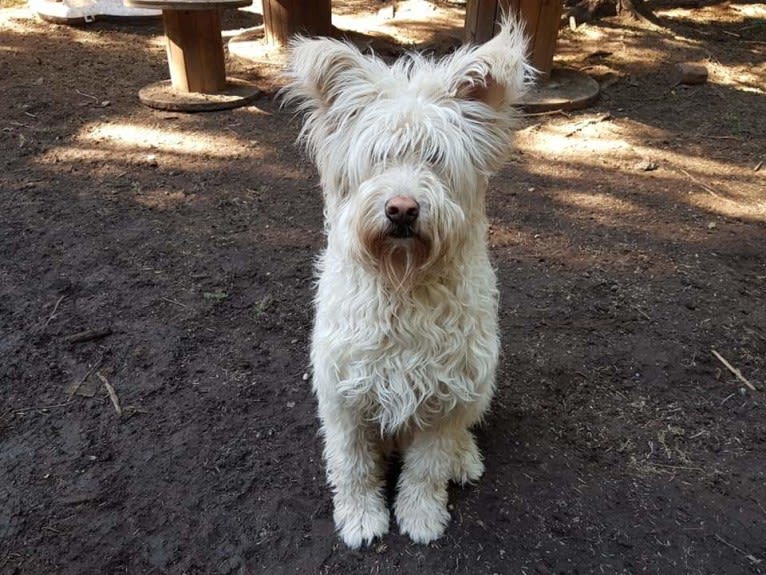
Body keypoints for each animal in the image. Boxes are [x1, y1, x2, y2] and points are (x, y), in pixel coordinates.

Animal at [284, 19, 532, 548]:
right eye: (378, 156)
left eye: (435, 157)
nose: (401, 208)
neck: (403, 283)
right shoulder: (344, 395)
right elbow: (353, 465)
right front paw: (360, 517)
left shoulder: (447, 395)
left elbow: (427, 467)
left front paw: (420, 516)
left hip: (481, 384)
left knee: (461, 435)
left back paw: (465, 458)